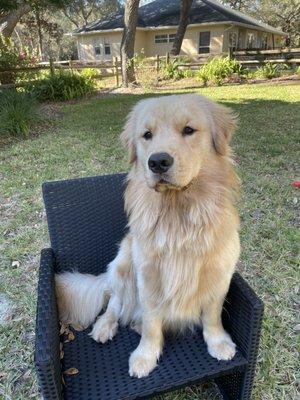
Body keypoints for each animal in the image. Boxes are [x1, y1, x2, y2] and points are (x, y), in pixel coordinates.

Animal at [55, 94, 240, 378]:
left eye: (189, 130)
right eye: (147, 135)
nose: (158, 162)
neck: (177, 214)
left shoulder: (219, 274)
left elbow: (212, 314)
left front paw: (218, 342)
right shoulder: (148, 275)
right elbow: (152, 322)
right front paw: (145, 356)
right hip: (123, 265)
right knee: (114, 304)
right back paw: (104, 327)